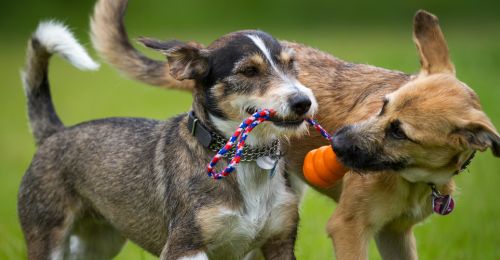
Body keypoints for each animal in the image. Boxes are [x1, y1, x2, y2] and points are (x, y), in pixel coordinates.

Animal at [91, 1, 500, 258]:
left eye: (400, 133)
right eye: (382, 105)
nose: (336, 142)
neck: (414, 179)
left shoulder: (396, 234)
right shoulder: (348, 227)